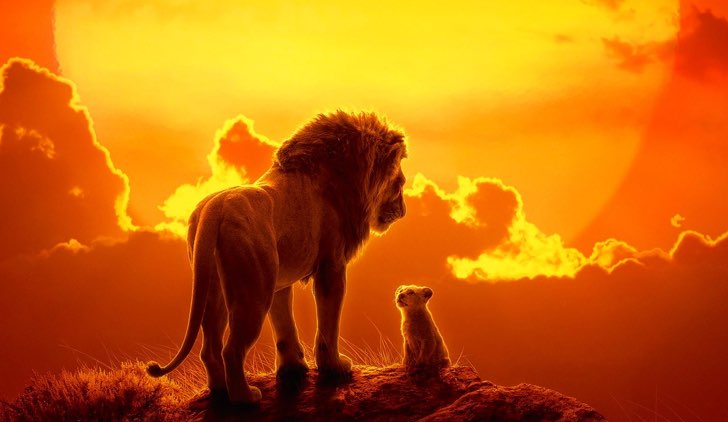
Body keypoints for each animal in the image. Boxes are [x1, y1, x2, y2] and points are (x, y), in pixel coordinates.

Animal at [146, 111, 407, 405]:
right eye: (400, 183)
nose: (403, 211)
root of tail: (215, 208)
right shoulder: (331, 266)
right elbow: (328, 323)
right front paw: (335, 368)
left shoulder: (279, 280)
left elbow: (284, 325)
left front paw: (293, 368)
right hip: (253, 292)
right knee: (231, 350)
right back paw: (245, 398)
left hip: (215, 288)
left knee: (210, 347)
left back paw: (220, 391)